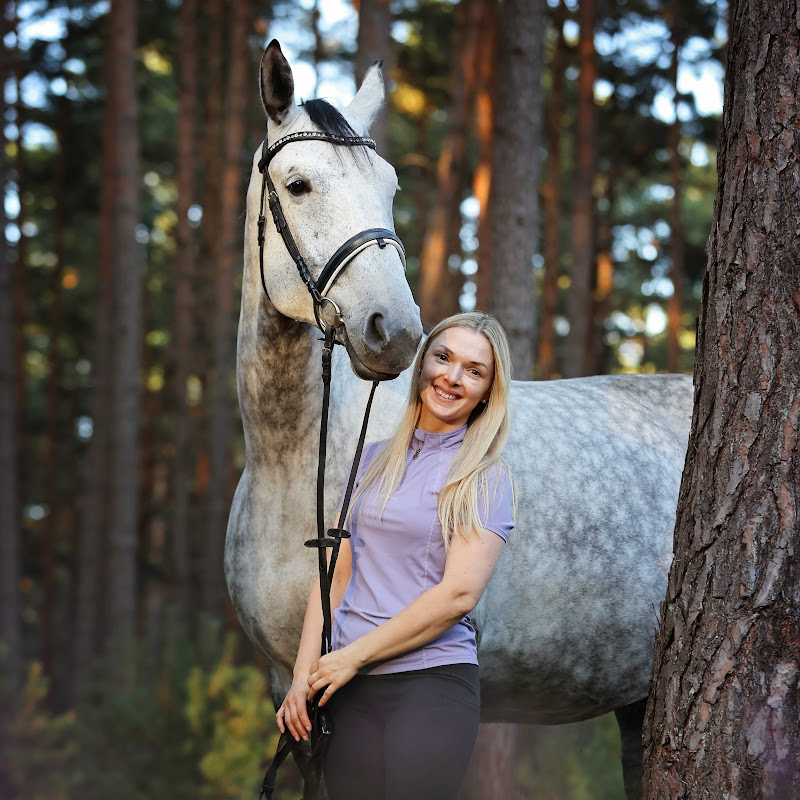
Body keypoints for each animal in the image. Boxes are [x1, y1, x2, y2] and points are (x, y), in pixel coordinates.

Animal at [225, 40, 693, 800]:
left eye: (389, 187)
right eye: (297, 186)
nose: (394, 331)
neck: (293, 466)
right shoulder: (290, 694)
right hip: (639, 698)